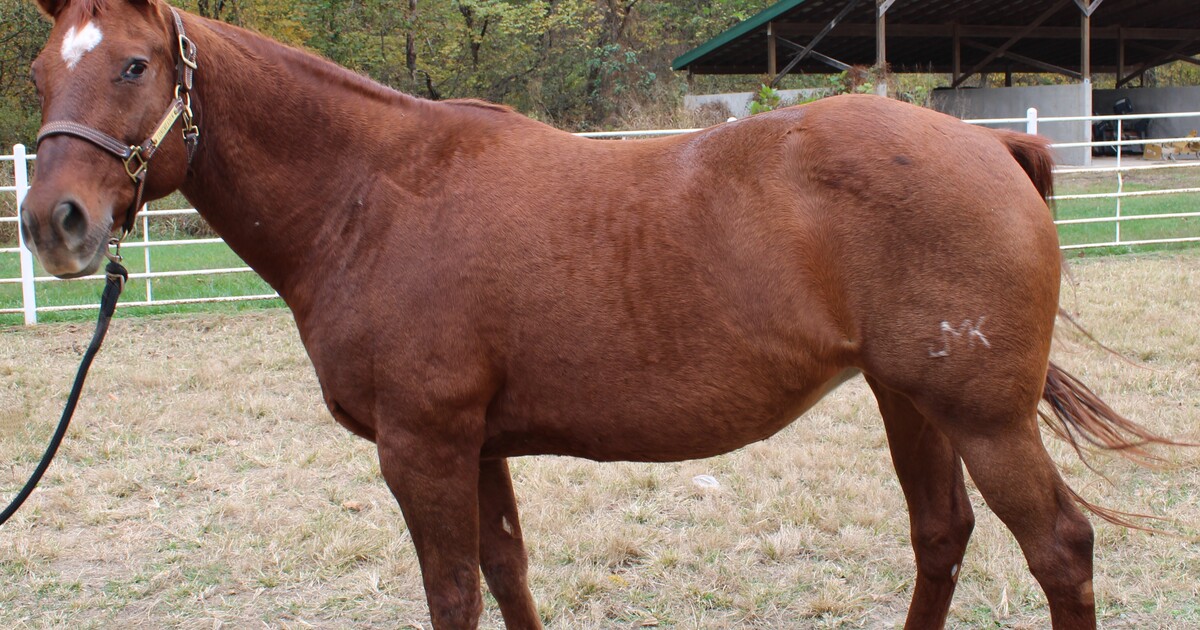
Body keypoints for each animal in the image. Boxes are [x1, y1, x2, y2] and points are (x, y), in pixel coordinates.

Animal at [18, 1, 1175, 627]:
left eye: (133, 65)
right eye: (37, 73)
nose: (53, 224)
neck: (374, 195)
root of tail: (995, 146)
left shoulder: (422, 448)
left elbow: (454, 592)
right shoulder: (474, 446)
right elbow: (505, 575)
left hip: (984, 417)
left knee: (1060, 548)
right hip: (910, 401)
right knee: (942, 536)